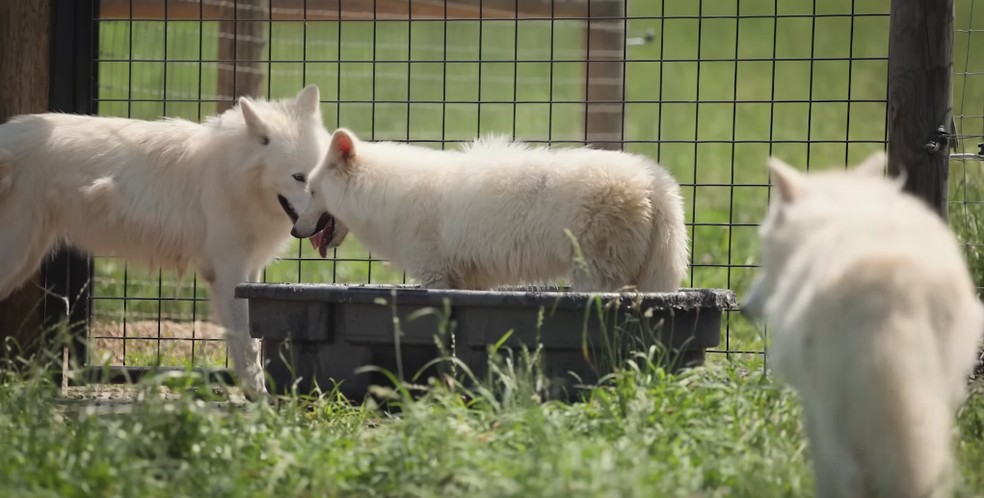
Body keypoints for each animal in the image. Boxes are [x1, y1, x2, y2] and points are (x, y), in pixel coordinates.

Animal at [0, 85, 347, 399]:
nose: (328, 222)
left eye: (320, 176)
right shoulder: (229, 273)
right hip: (15, 258)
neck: (234, 178)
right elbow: (247, 344)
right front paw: (260, 399)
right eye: (299, 178)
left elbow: (252, 341)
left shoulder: (248, 273)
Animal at [291, 128, 689, 292]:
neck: (386, 193)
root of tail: (654, 181)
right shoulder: (470, 281)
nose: (295, 231)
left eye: (311, 191)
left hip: (595, 274)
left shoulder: (436, 274)